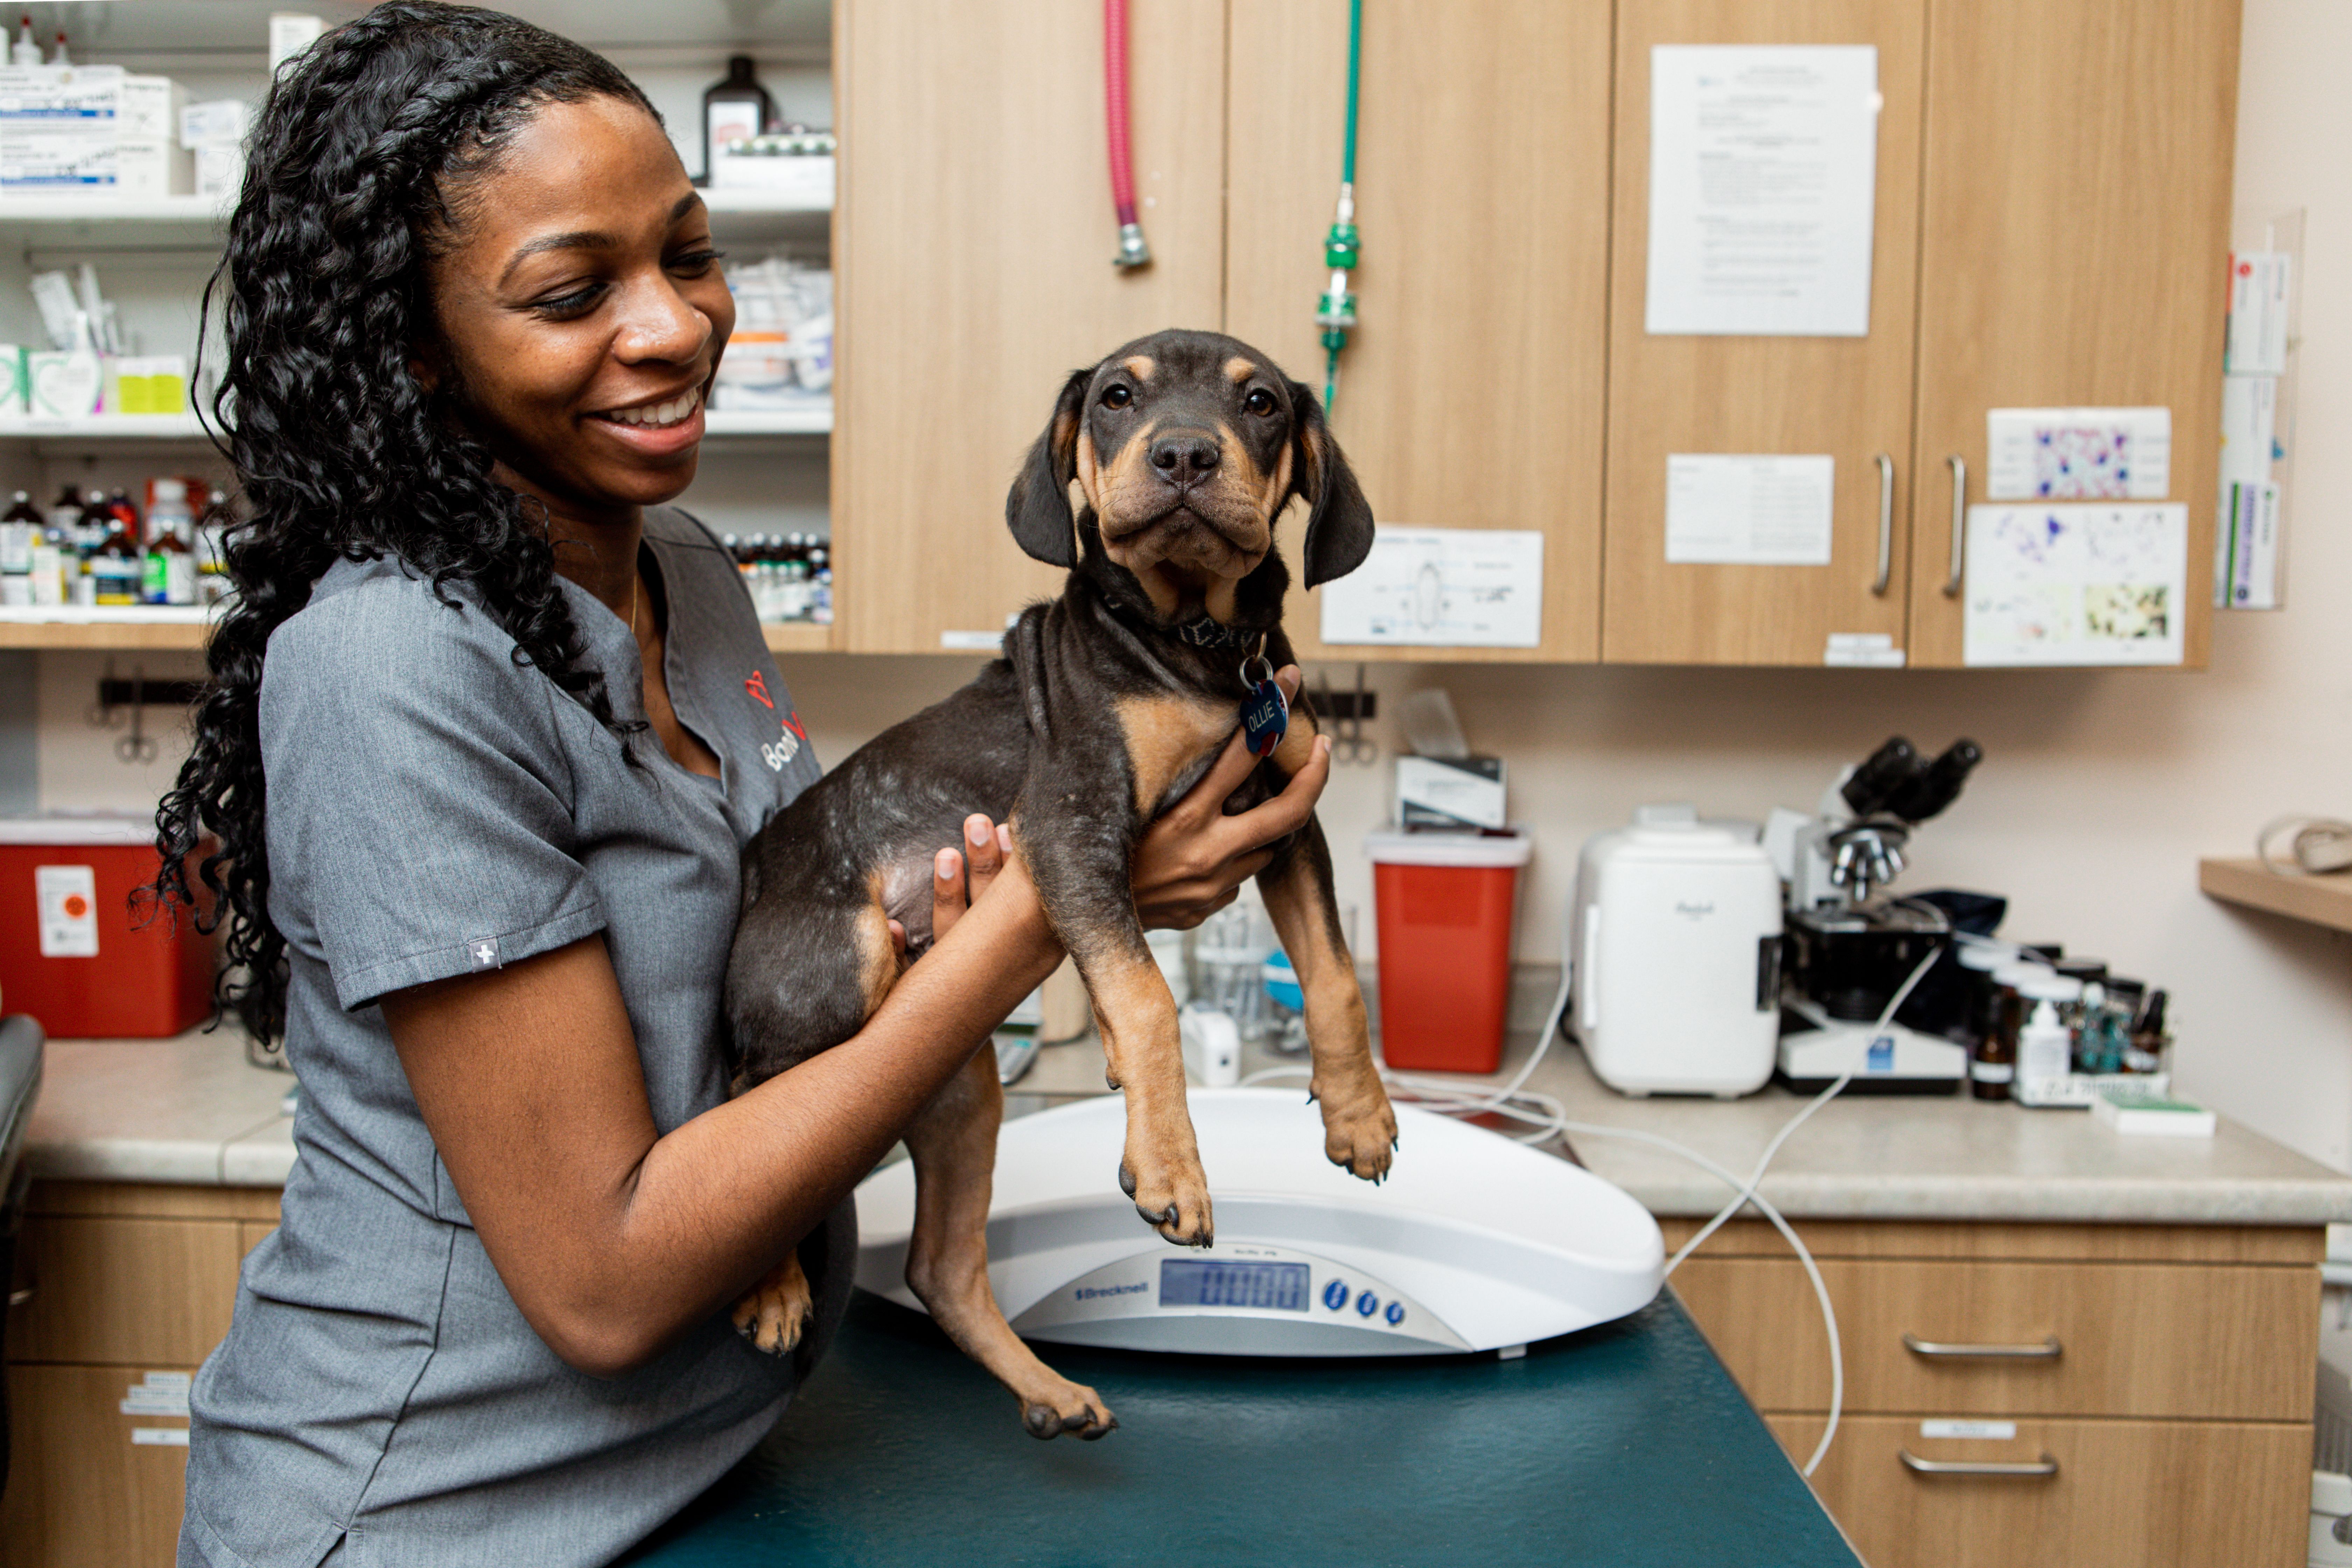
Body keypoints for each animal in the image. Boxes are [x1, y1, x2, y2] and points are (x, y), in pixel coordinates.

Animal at [722, 329, 1398, 1439]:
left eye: (1259, 401)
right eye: (1119, 396)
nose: (1183, 456)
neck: (1200, 650)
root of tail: (751, 870)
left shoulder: (1290, 824)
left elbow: (1336, 979)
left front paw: (1359, 1118)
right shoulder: (1074, 825)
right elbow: (1148, 995)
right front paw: (1170, 1170)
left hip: (957, 1084)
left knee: (940, 1266)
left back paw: (1049, 1391)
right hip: (837, 969)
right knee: (749, 1104)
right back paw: (773, 1288)